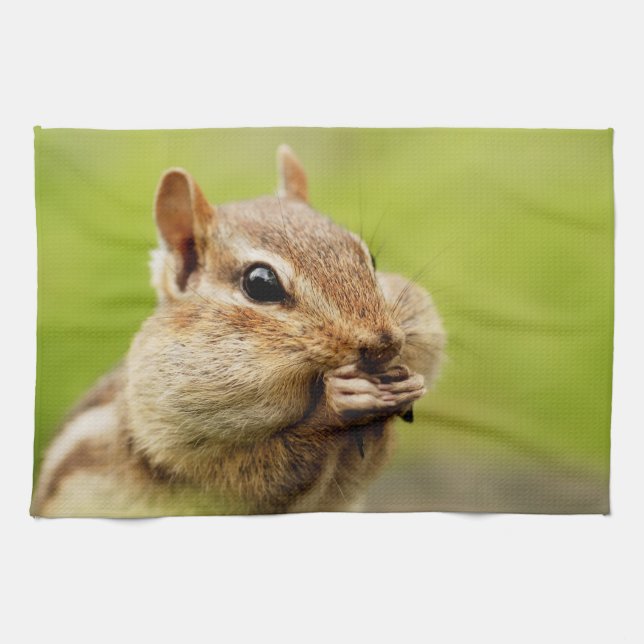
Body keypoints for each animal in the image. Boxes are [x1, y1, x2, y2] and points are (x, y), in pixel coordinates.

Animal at [31, 145, 445, 517]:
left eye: (369, 259)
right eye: (260, 283)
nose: (384, 345)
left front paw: (408, 386)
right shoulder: (187, 463)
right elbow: (257, 474)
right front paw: (341, 401)